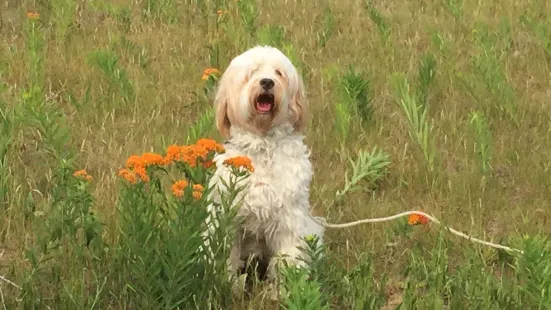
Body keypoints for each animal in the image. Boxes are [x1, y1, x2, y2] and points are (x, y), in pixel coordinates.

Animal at [205, 46, 326, 290]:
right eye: (252, 73)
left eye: (279, 73)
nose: (267, 82)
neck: (262, 146)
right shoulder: (226, 220)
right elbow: (226, 259)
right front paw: (229, 286)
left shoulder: (289, 221)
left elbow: (288, 260)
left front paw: (283, 291)